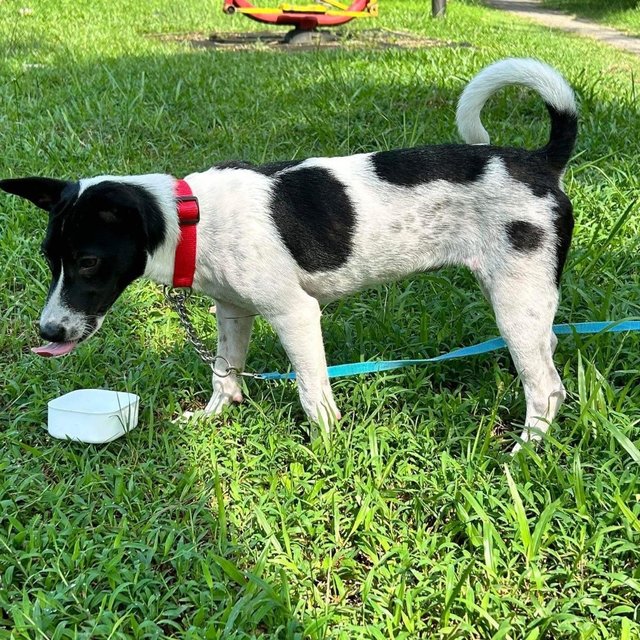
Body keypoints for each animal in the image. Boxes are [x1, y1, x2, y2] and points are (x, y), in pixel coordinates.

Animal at [0, 58, 576, 450]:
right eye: (51, 259)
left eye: (88, 262)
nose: (47, 332)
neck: (195, 219)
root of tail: (540, 163)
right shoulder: (232, 312)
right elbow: (224, 371)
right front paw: (214, 415)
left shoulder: (294, 314)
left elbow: (311, 390)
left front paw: (326, 446)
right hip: (528, 301)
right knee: (548, 358)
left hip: (514, 301)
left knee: (547, 388)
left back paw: (523, 453)